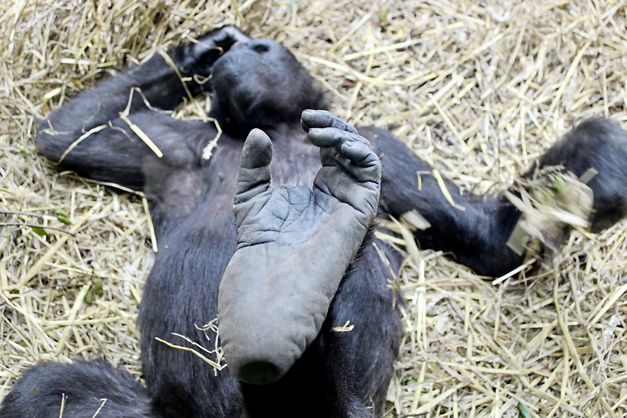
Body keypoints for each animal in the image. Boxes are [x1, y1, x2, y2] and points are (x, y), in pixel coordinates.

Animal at [1, 27, 627, 418]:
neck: (280, 130)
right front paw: (201, 50)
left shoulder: (383, 146)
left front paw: (585, 167)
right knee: (50, 392)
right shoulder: (180, 146)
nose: (251, 46)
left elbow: (492, 241)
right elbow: (67, 133)